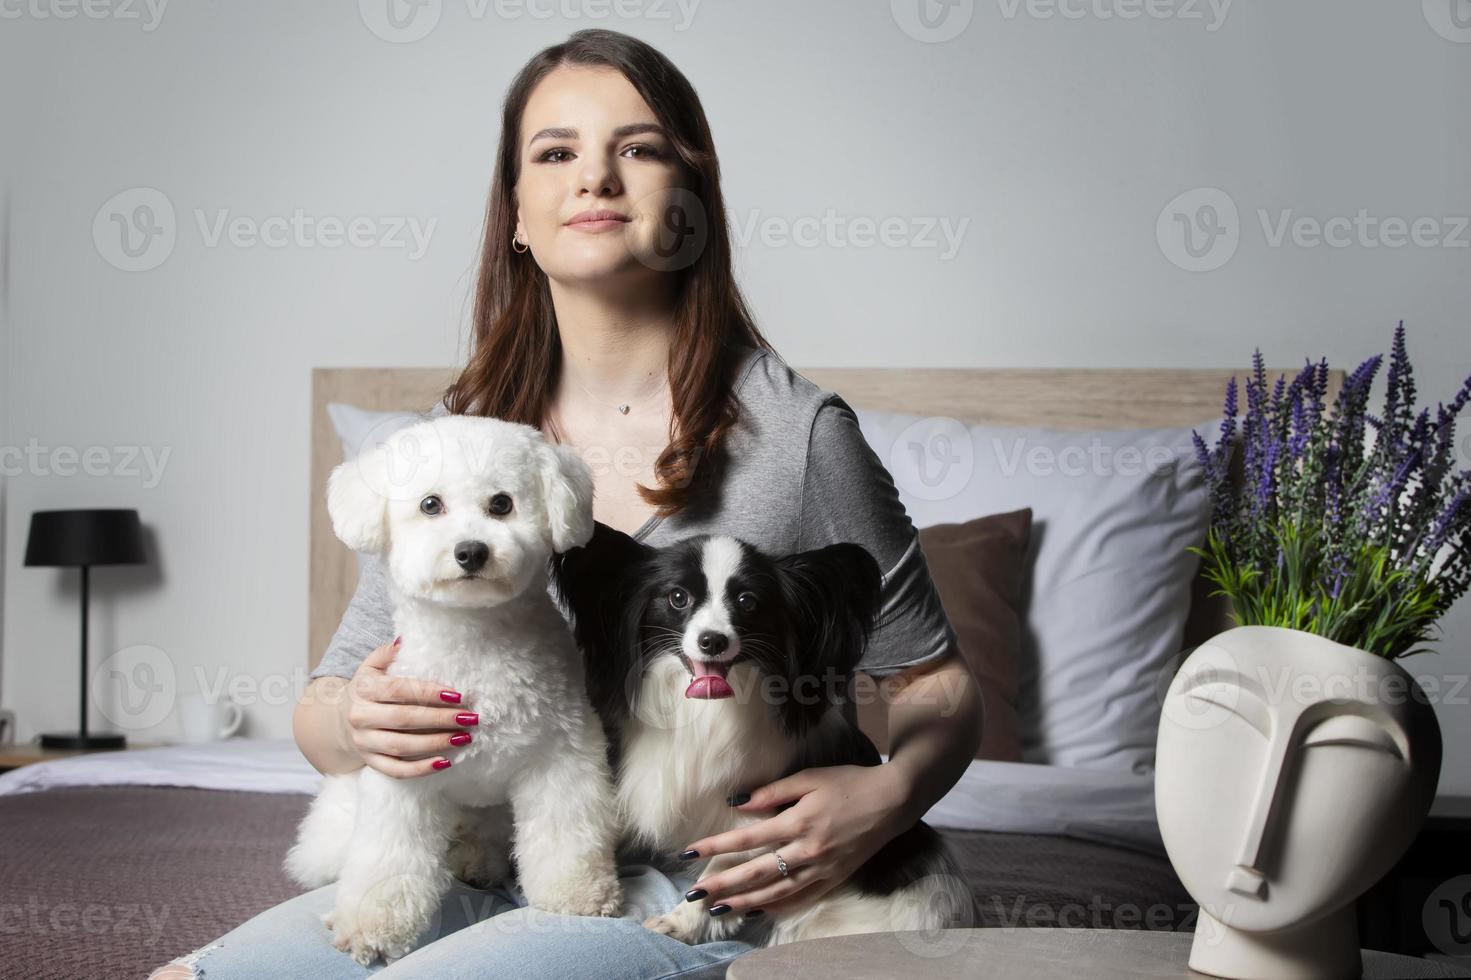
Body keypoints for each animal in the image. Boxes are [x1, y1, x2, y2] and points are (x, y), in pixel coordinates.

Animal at [286, 412, 626, 959]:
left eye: (502, 504)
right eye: (431, 505)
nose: (471, 551)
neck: (476, 641)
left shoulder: (563, 756)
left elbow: (565, 834)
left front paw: (579, 894)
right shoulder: (401, 777)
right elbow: (387, 858)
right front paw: (371, 925)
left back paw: (475, 859)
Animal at [547, 523, 970, 941]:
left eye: (747, 601)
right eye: (678, 598)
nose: (712, 640)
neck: (708, 710)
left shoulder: (760, 816)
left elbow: (720, 867)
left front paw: (684, 922)